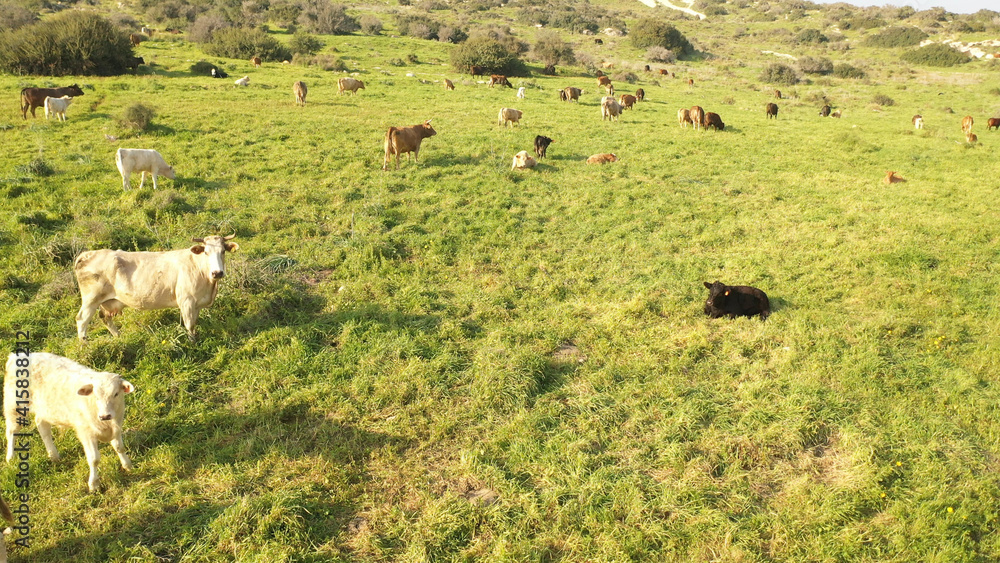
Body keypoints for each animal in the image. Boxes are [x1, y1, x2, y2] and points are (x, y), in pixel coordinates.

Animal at [5, 353, 136, 493]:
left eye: (116, 394)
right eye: (95, 396)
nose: (105, 415)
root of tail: (17, 356)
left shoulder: (116, 427)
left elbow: (119, 447)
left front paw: (128, 465)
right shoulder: (86, 432)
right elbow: (94, 459)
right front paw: (94, 484)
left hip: (44, 408)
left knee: (42, 425)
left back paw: (54, 455)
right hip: (14, 405)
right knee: (12, 431)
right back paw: (10, 457)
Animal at [74, 234, 239, 342]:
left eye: (223, 251)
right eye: (206, 252)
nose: (217, 272)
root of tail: (89, 254)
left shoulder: (197, 303)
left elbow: (194, 323)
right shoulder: (186, 301)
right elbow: (189, 324)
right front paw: (193, 342)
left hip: (107, 301)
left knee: (105, 318)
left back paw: (118, 337)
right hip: (91, 299)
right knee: (82, 320)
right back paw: (85, 345)